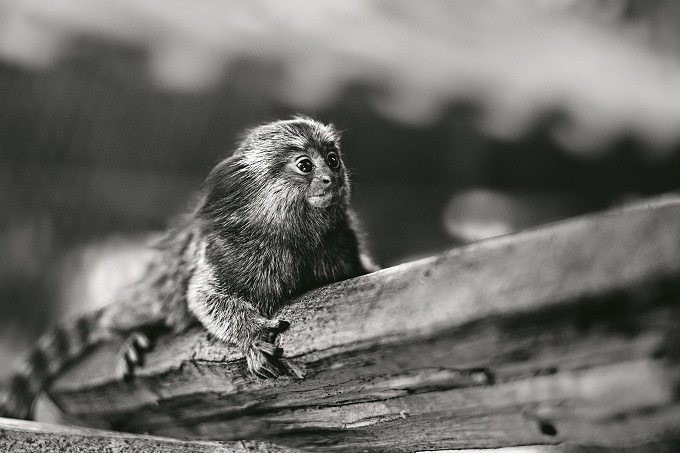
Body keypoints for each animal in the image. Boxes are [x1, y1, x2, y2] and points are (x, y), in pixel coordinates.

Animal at [0, 116, 378, 420]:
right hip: (149, 292)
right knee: (129, 312)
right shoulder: (225, 252)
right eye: (305, 165)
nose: (330, 178)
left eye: (332, 160)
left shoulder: (342, 245)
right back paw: (133, 333)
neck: (294, 237)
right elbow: (203, 297)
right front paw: (252, 337)